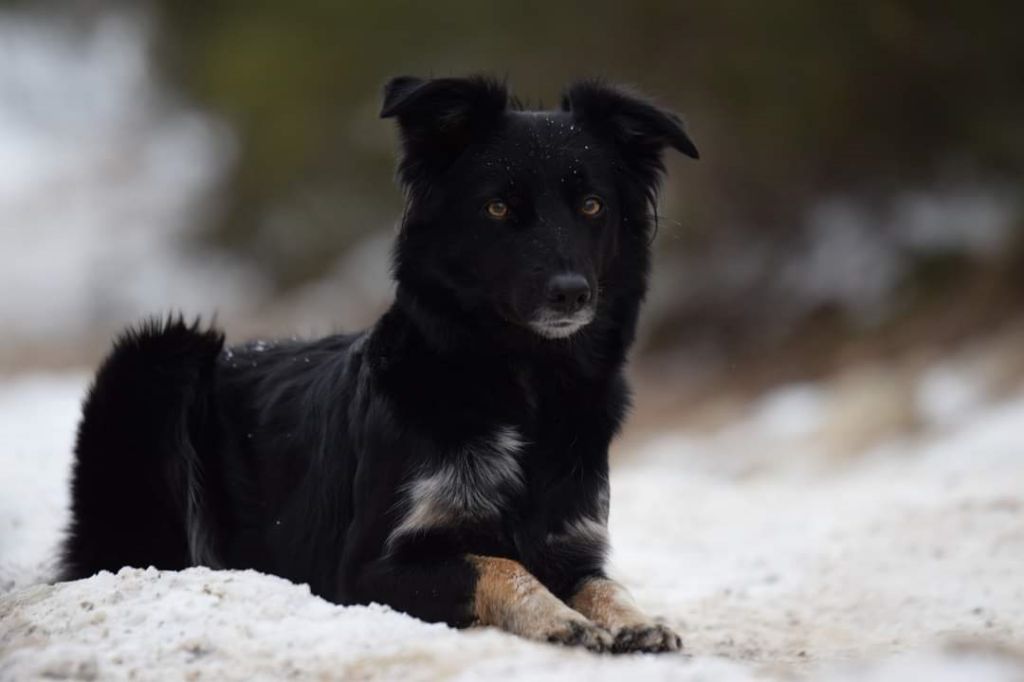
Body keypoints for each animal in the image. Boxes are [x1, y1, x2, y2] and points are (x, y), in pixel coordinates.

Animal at [59, 75, 700, 655]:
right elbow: (498, 564)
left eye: (592, 206)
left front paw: (636, 620)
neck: (522, 388)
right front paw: (558, 618)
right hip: (162, 355)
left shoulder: (572, 542)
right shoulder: (367, 569)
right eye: (498, 207)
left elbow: (603, 584)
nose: (571, 294)